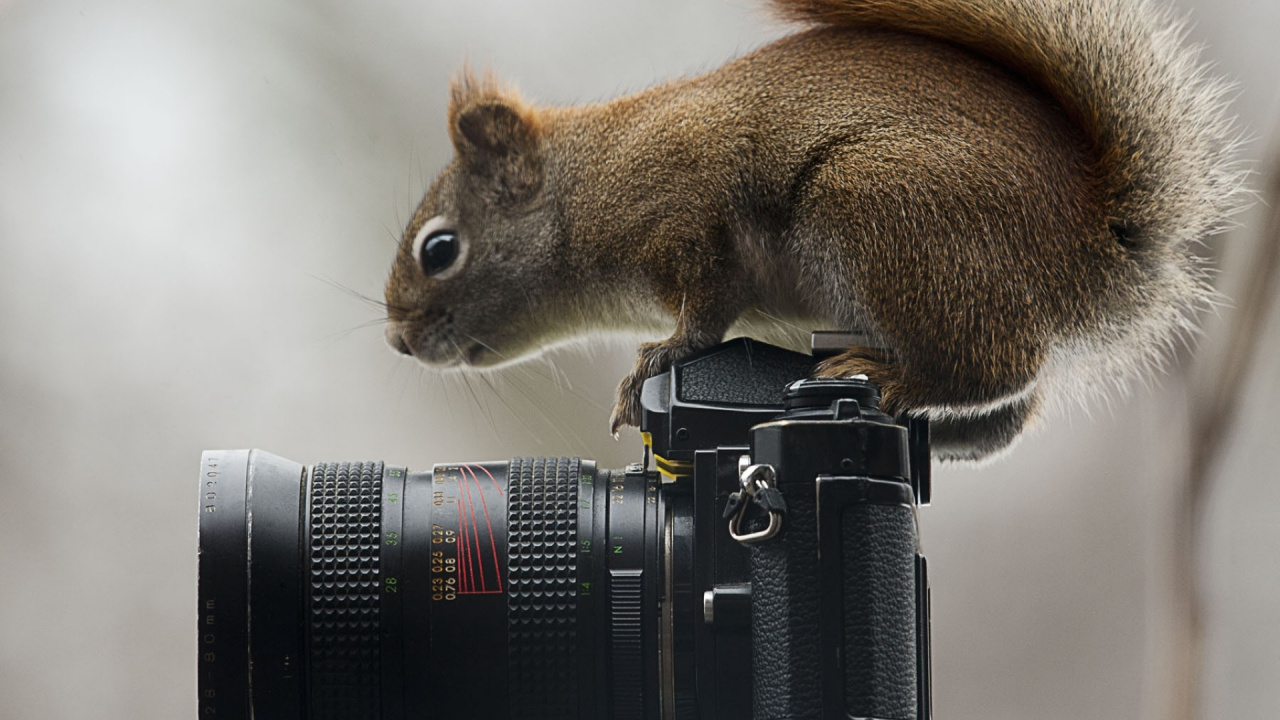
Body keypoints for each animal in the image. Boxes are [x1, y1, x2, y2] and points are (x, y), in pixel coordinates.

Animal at [382, 0, 1242, 461]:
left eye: (439, 249)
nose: (399, 341)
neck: (590, 184)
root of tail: (1099, 243)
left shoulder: (688, 211)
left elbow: (705, 309)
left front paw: (658, 361)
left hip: (876, 210)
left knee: (994, 366)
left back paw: (892, 384)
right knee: (1006, 417)